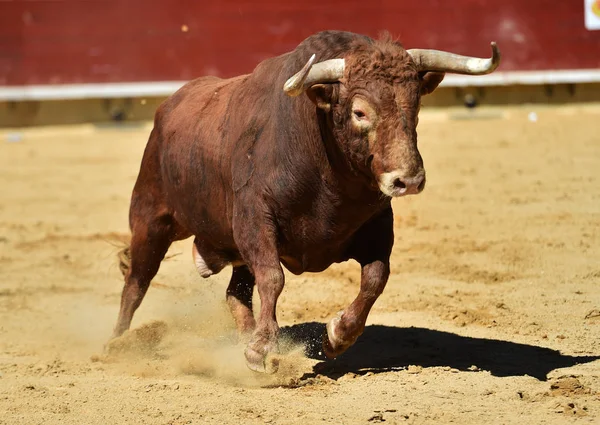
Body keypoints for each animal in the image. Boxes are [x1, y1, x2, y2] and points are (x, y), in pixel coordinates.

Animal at [110, 30, 500, 372]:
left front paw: (336, 335)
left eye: (416, 107)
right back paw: (117, 343)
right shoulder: (255, 219)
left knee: (235, 292)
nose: (409, 180)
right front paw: (261, 350)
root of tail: (168, 107)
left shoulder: (377, 224)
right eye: (360, 112)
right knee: (137, 281)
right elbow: (273, 278)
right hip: (151, 218)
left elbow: (376, 277)